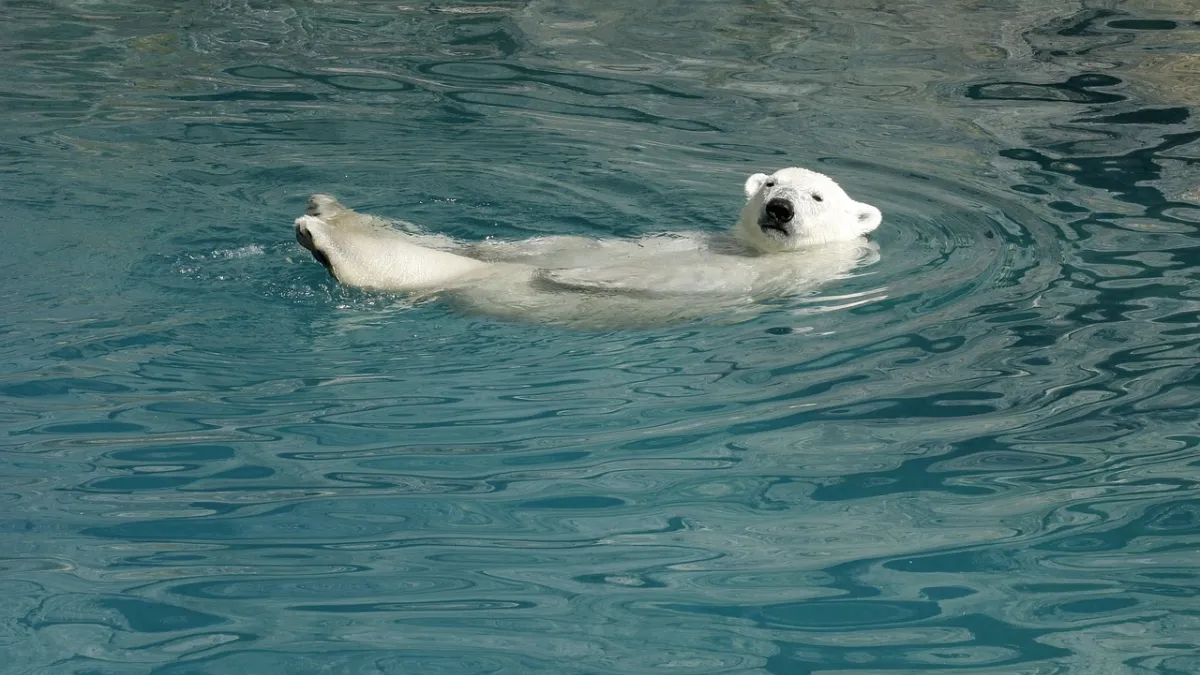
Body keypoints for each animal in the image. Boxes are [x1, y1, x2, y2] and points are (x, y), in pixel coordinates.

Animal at [293, 167, 882, 327]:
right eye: (770, 183)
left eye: (817, 196)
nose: (779, 208)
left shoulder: (775, 276)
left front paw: (581, 278)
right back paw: (327, 211)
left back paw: (325, 238)